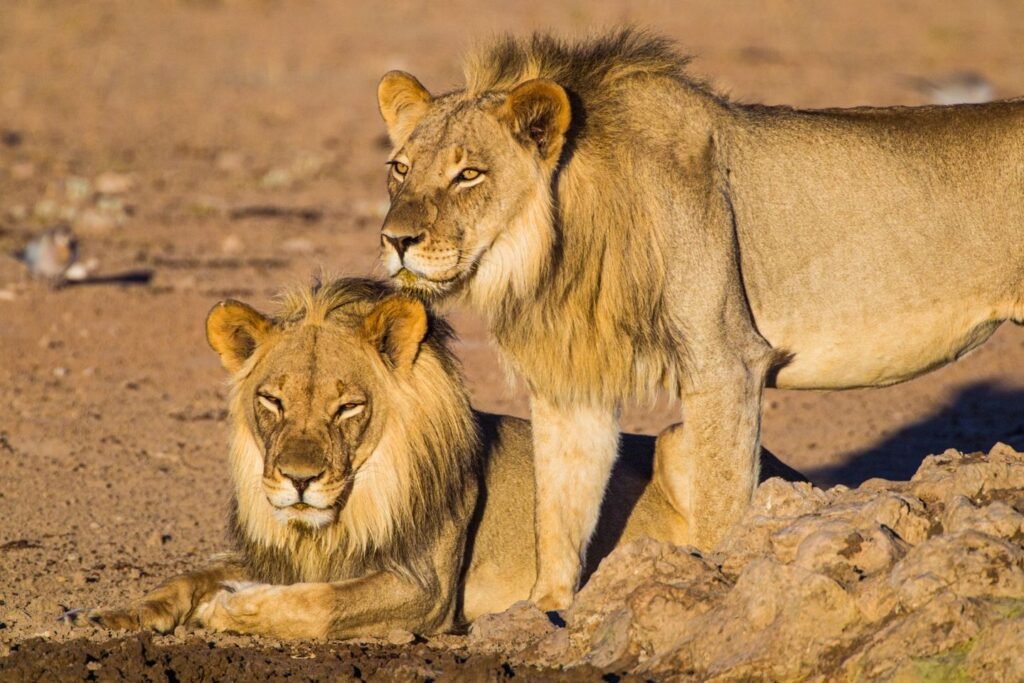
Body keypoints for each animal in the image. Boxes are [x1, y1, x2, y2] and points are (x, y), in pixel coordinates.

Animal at [64, 278, 800, 638]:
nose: (298, 480)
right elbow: (187, 575)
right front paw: (109, 615)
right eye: (271, 400)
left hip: (679, 436)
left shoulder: (424, 588)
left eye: (347, 407)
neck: (337, 515)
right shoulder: (286, 555)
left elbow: (317, 606)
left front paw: (229, 608)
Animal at [375, 29, 1024, 609]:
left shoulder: (725, 362)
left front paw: (714, 584)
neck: (552, 253)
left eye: (469, 174)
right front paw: (544, 611)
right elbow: (558, 511)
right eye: (400, 168)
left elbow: (718, 509)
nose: (396, 240)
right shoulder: (573, 381)